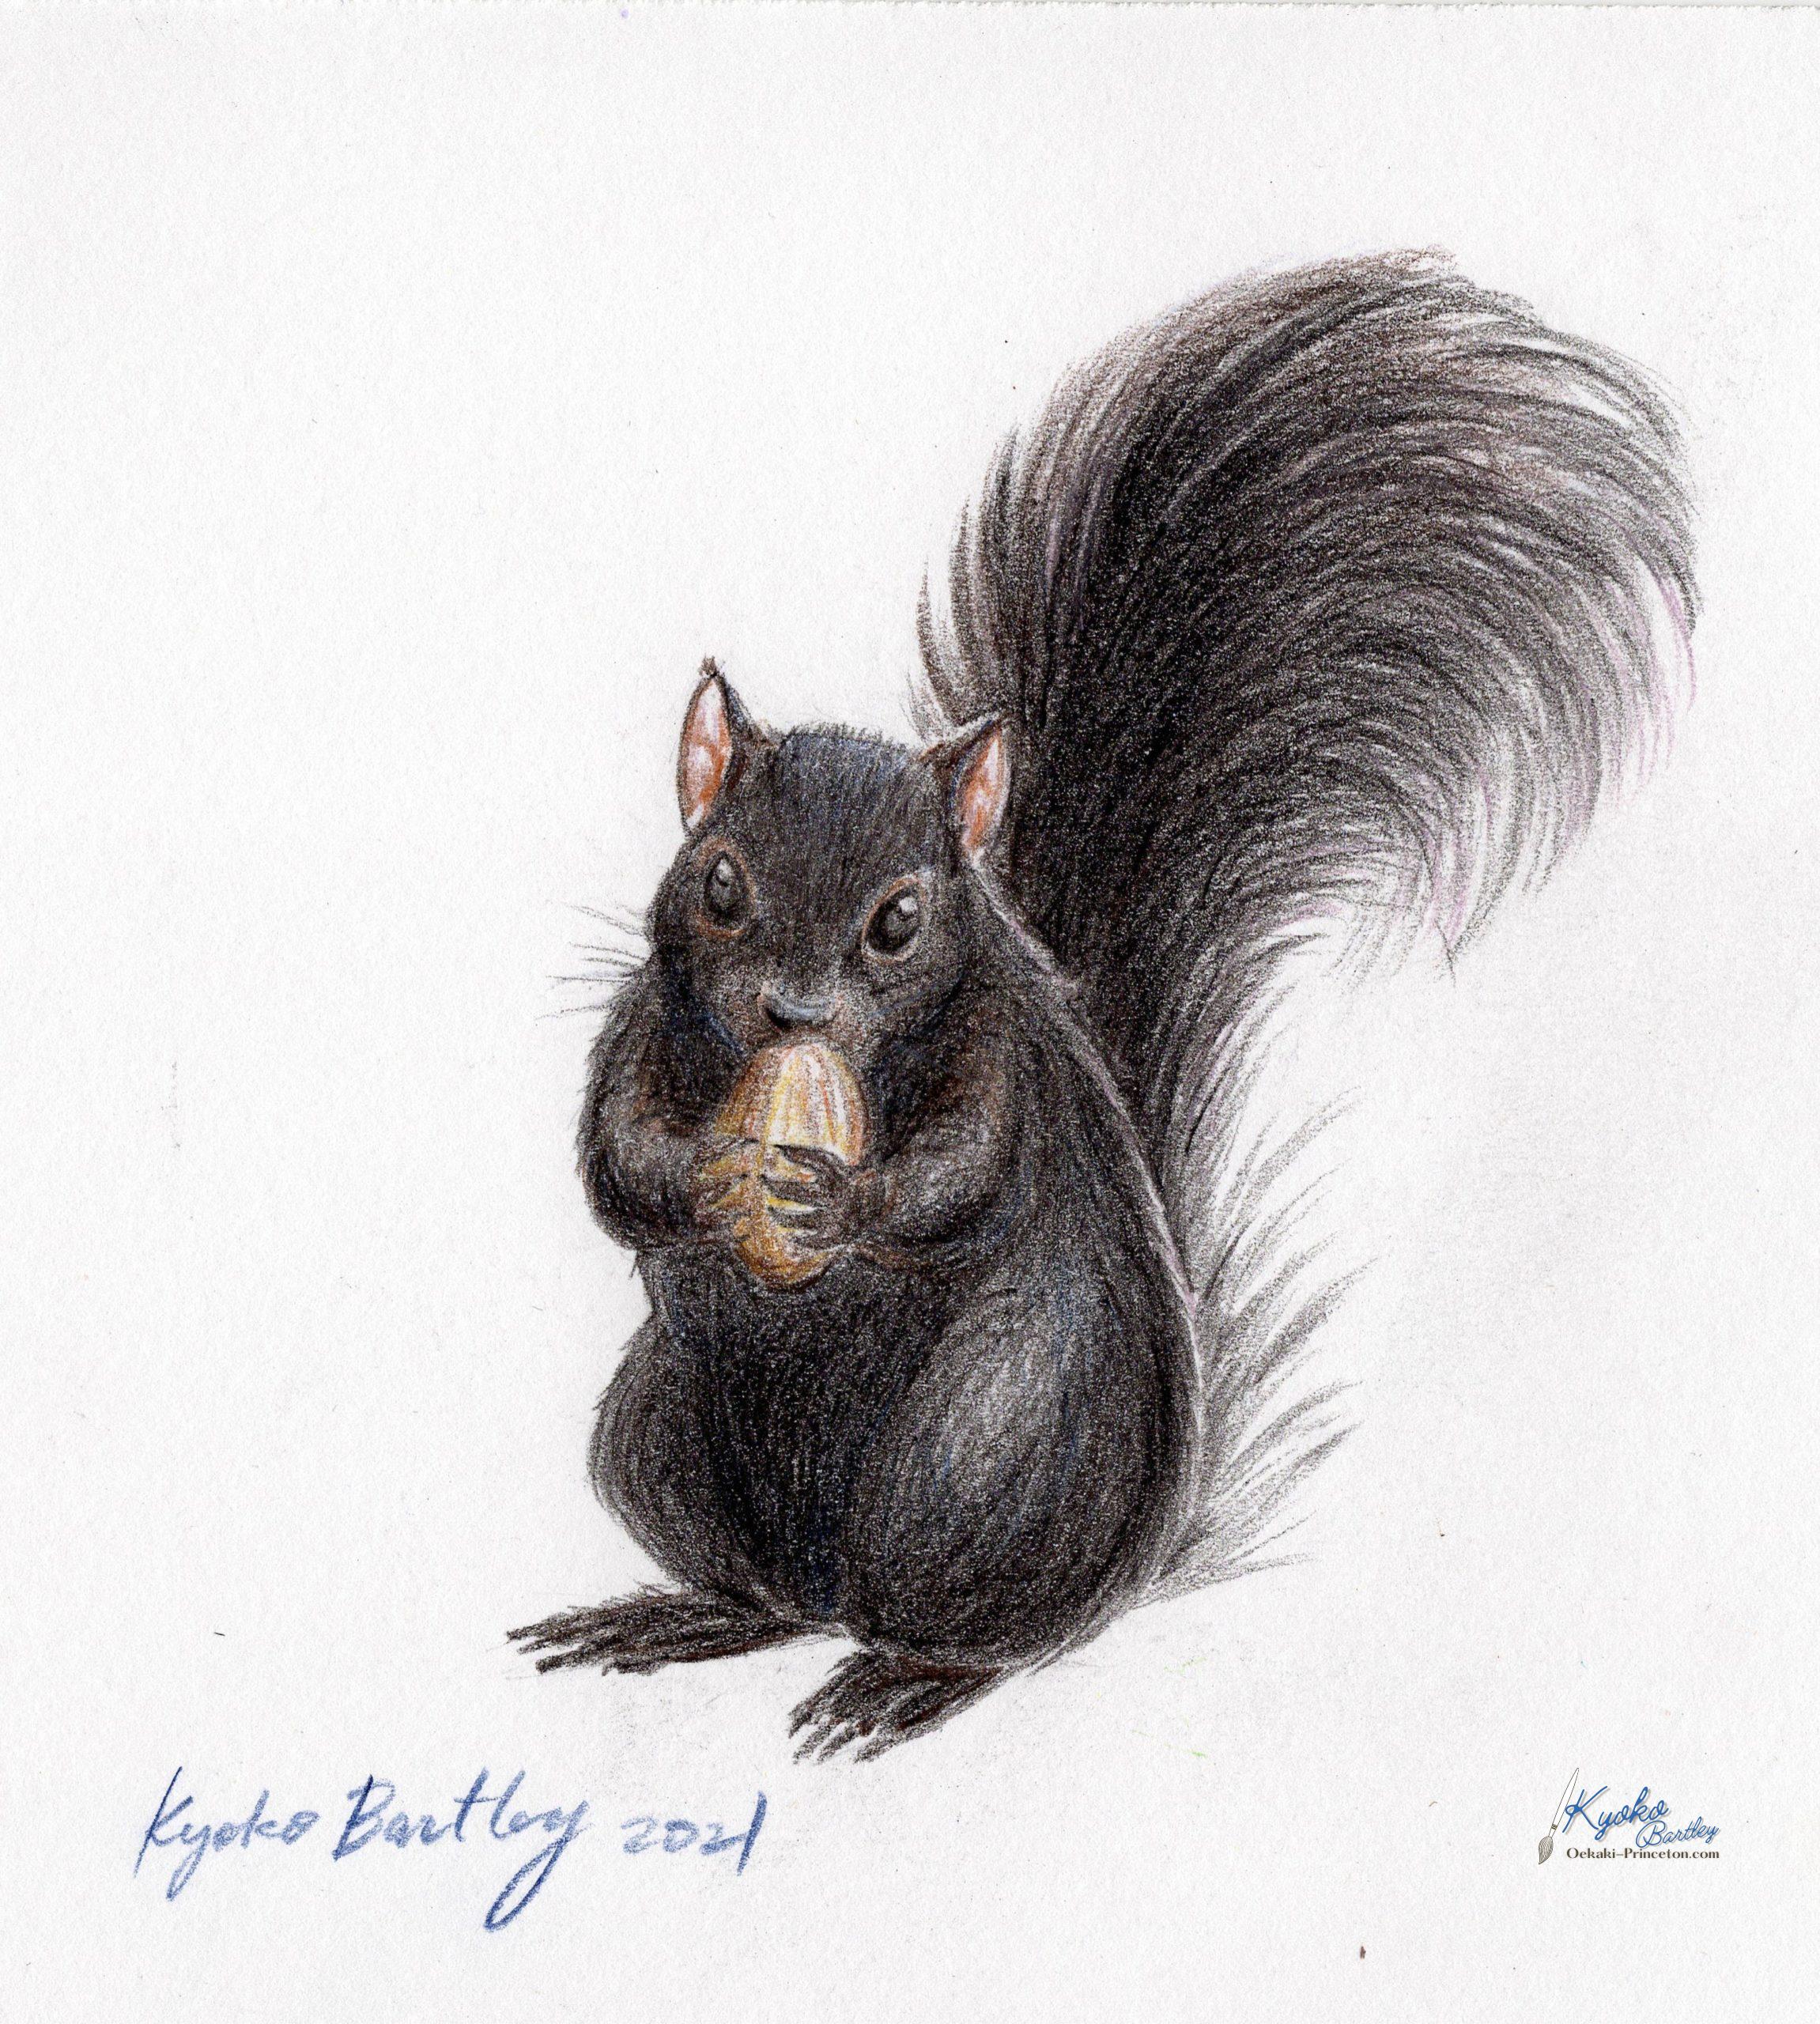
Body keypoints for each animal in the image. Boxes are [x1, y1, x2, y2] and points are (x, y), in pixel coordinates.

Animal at [511, 253, 1697, 1760]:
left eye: (901, 920)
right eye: (716, 882)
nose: (790, 1011)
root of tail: (1141, 1541)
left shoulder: (1001, 1051)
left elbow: (959, 1170)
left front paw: (832, 1199)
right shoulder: (644, 1016)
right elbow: (614, 1158)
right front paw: (704, 1175)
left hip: (982, 1461)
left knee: (981, 1628)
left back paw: (899, 1682)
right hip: (660, 1433)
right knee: (763, 1593)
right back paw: (677, 1617)